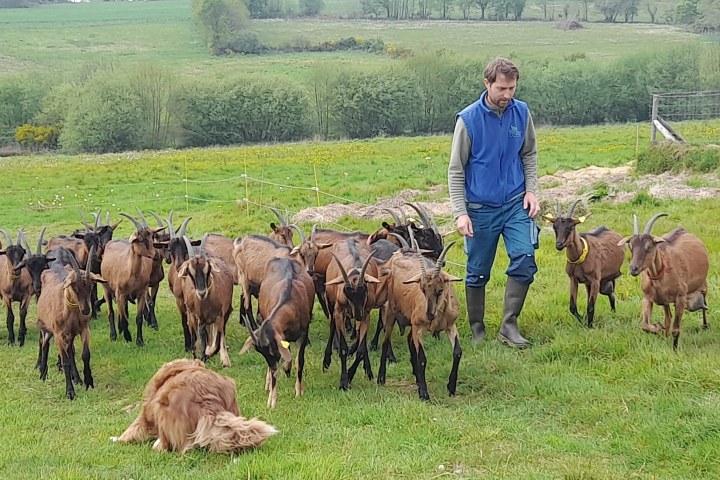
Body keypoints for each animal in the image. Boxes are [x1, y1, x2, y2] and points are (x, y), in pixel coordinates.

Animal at [114, 358, 278, 452]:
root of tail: (208, 402)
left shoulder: (145, 416)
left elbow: (132, 429)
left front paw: (117, 439)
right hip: (231, 387)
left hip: (163, 407)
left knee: (176, 447)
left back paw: (158, 445)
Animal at [239, 258, 316, 408]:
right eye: (260, 352)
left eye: (272, 350)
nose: (274, 368)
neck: (290, 297)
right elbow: (284, 362)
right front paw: (271, 400)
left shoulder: (303, 334)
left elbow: (299, 360)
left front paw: (299, 391)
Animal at [376, 244, 462, 402]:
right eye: (422, 289)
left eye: (440, 290)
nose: (429, 314)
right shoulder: (418, 327)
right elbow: (422, 358)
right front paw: (424, 394)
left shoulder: (450, 325)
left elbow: (458, 352)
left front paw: (451, 387)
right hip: (390, 312)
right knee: (385, 341)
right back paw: (381, 378)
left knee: (409, 340)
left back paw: (416, 376)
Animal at [540, 200, 624, 330]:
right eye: (555, 227)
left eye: (570, 227)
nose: (559, 245)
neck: (580, 257)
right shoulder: (573, 279)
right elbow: (572, 307)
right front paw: (584, 320)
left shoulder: (595, 281)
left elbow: (590, 307)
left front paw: (590, 327)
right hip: (591, 284)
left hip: (602, 283)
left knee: (611, 293)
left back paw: (613, 313)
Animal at [616, 214, 712, 348]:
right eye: (631, 247)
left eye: (649, 246)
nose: (633, 269)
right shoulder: (647, 297)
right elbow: (645, 325)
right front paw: (658, 328)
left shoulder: (680, 297)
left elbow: (676, 329)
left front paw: (674, 348)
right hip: (666, 300)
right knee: (668, 317)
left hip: (703, 285)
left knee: (704, 304)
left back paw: (705, 325)